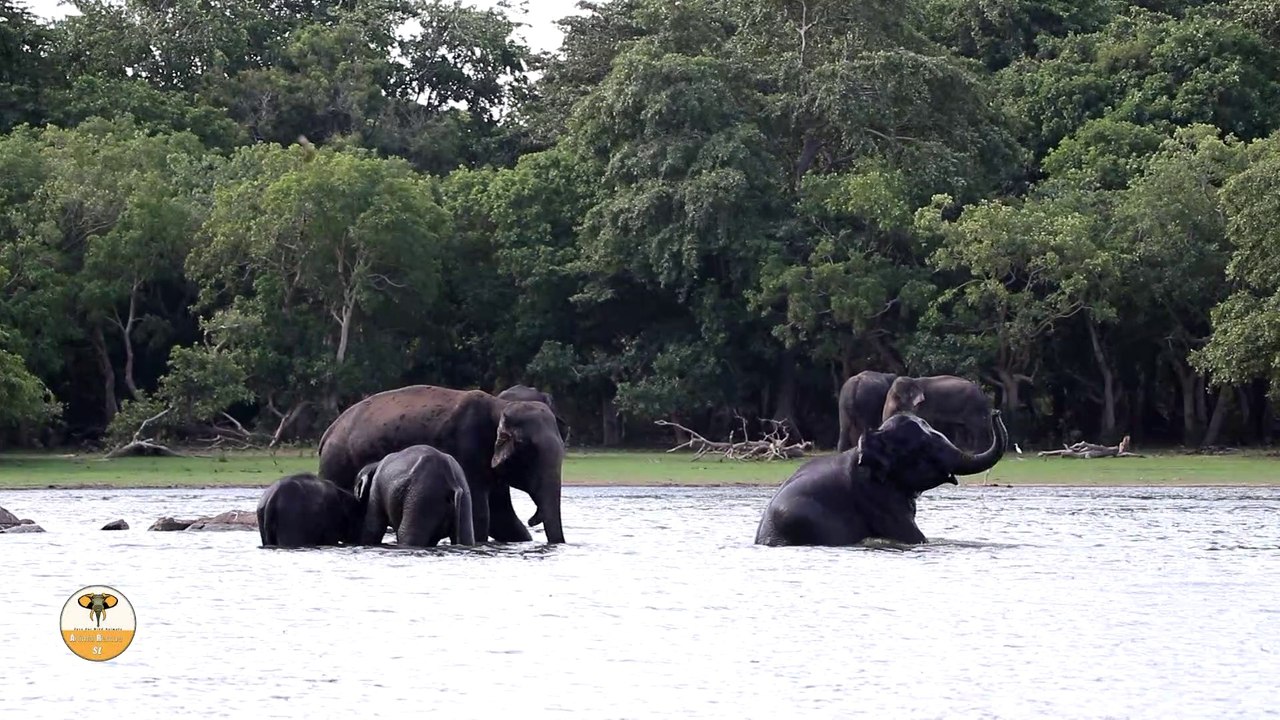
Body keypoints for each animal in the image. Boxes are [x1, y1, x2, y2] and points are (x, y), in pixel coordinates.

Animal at [317, 384, 566, 544]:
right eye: (528, 449)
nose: (533, 520)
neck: (500, 404)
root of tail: (329, 431)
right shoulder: (468, 449)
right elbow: (482, 515)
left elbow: (503, 518)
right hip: (337, 463)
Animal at [837, 371, 994, 453]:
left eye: (897, 399)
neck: (913, 380)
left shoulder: (925, 404)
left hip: (972, 407)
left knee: (975, 427)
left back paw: (976, 451)